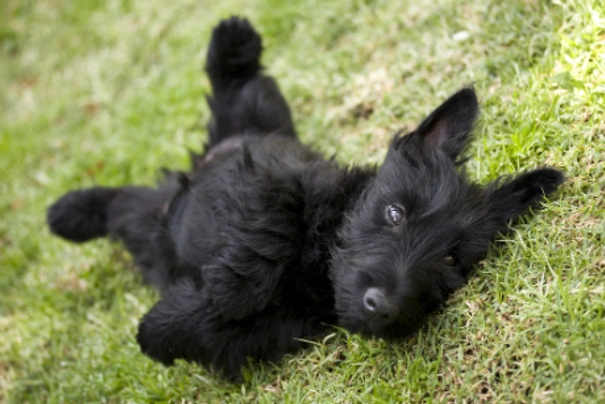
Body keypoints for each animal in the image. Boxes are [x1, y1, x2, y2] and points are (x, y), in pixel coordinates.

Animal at [47, 17, 560, 380]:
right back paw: (233, 38)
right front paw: (206, 300)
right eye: (394, 213)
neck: (318, 270)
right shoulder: (270, 183)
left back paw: (71, 214)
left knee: (123, 205)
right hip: (254, 120)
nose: (382, 306)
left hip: (151, 219)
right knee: (238, 84)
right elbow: (265, 240)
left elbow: (216, 330)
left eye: (452, 260)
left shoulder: (278, 329)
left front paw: (161, 330)